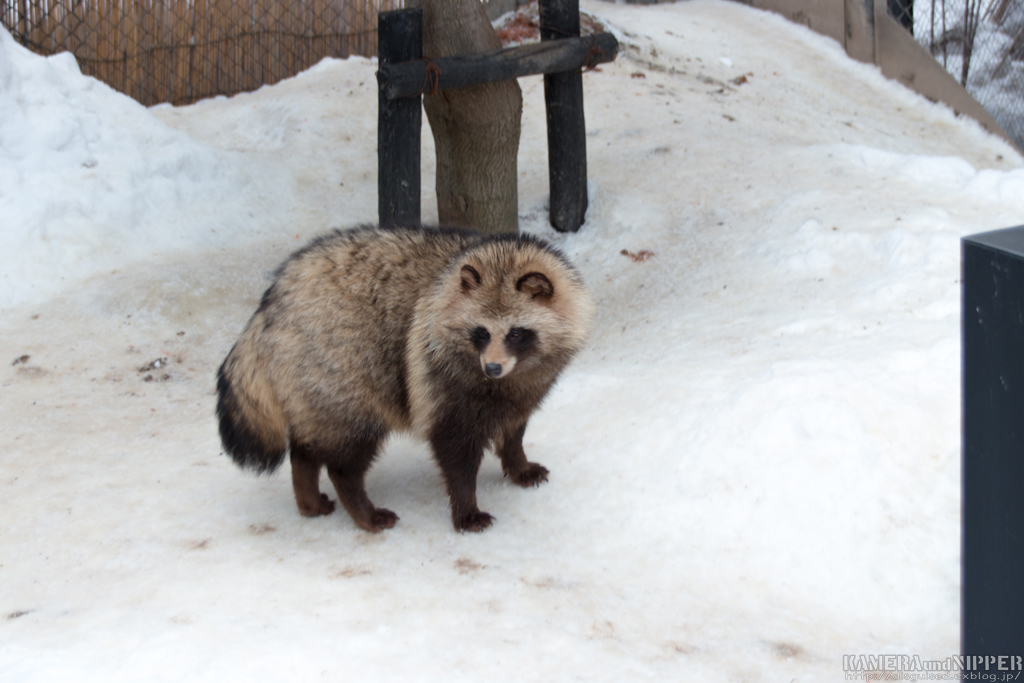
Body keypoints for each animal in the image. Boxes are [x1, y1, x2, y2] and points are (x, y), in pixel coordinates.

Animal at [220, 224, 598, 532]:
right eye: (481, 332)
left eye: (516, 333)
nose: (491, 369)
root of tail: (271, 303)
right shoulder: (440, 380)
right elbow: (454, 450)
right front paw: (465, 507)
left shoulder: (526, 387)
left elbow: (514, 426)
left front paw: (517, 461)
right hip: (341, 369)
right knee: (346, 455)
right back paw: (361, 509)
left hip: (312, 384)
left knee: (305, 445)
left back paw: (308, 493)